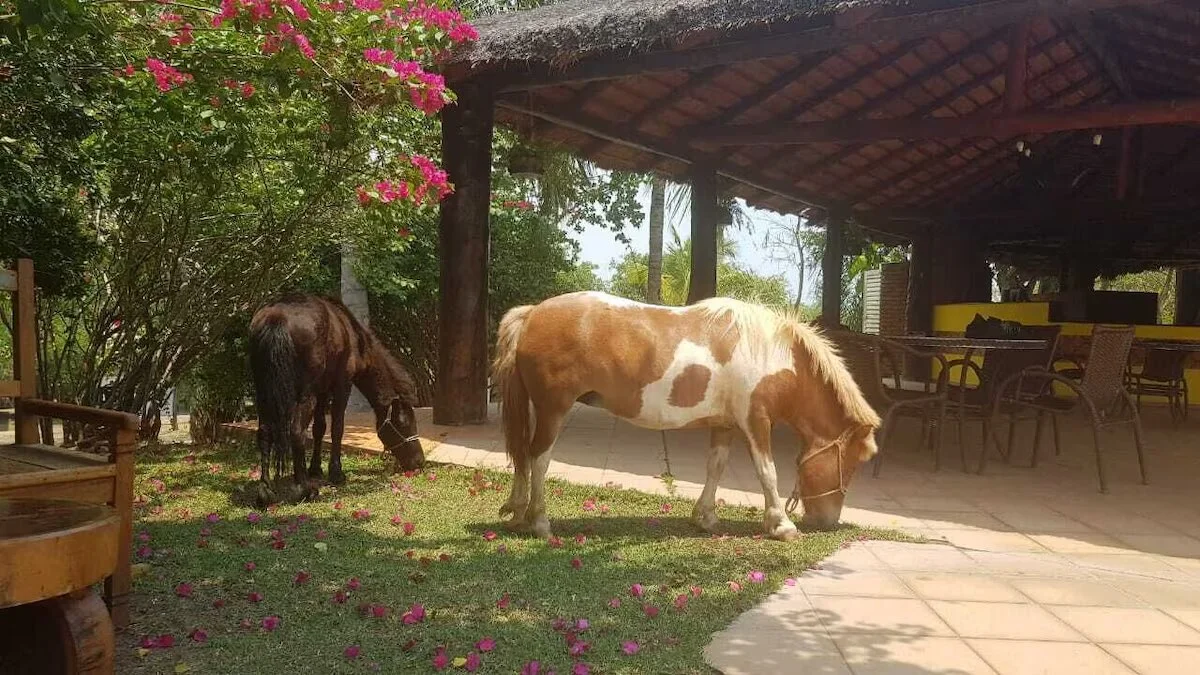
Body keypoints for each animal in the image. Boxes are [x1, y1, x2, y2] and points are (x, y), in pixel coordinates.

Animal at [248, 291, 427, 502]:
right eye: (404, 424)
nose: (419, 462)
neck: (354, 338)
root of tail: (277, 318)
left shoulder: (322, 390)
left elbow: (319, 428)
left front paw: (315, 468)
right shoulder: (342, 385)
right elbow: (337, 428)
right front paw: (336, 473)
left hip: (264, 393)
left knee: (265, 432)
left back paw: (265, 491)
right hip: (304, 396)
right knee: (297, 432)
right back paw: (304, 488)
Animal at [494, 291, 883, 538]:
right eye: (853, 463)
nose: (827, 521)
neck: (772, 354)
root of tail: (533, 313)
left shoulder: (725, 425)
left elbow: (716, 468)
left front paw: (705, 518)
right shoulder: (756, 422)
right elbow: (767, 472)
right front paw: (781, 525)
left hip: (536, 408)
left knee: (522, 455)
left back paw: (517, 513)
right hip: (553, 409)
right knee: (539, 458)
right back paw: (539, 522)